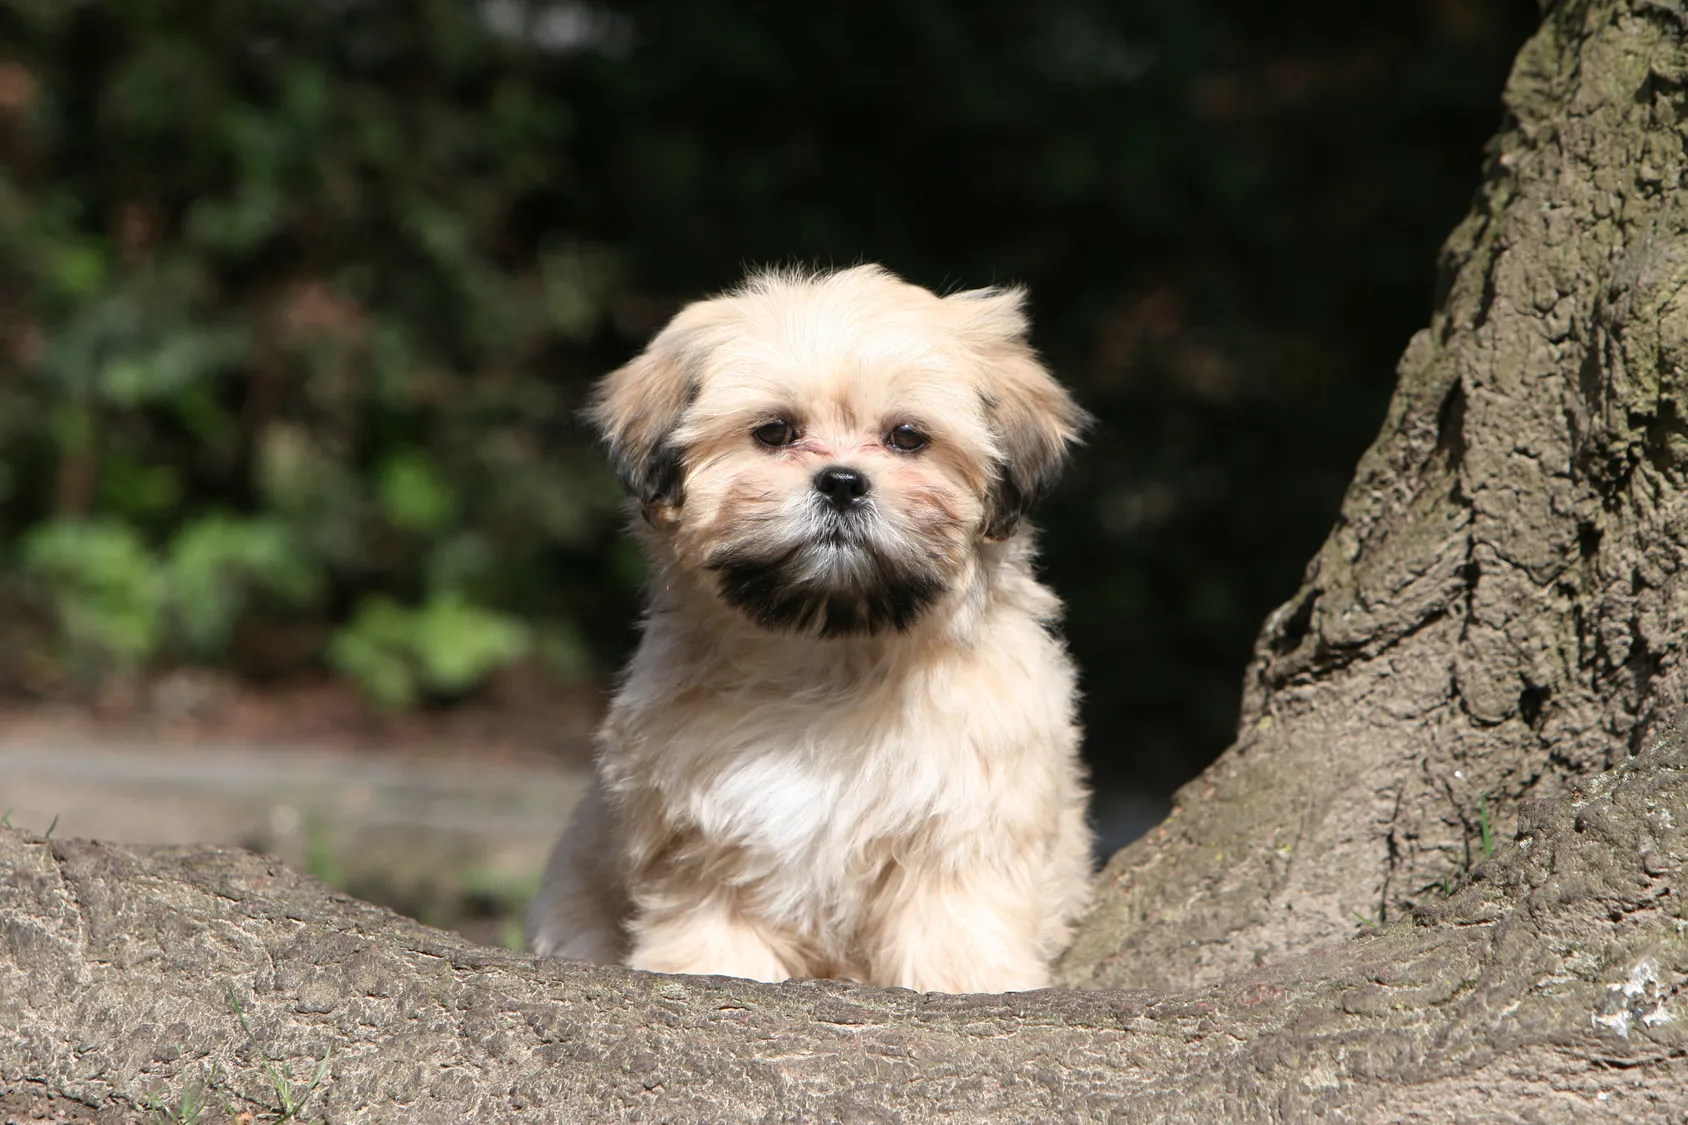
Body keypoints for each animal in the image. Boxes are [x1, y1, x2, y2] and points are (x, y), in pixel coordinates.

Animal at [533, 265, 1100, 993]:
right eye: (774, 432)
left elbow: (955, 930)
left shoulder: (966, 825)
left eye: (908, 437)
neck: (830, 651)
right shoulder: (711, 846)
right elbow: (715, 937)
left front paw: (966, 984)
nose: (842, 482)